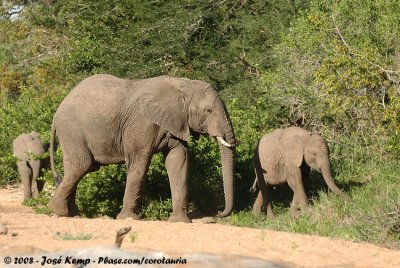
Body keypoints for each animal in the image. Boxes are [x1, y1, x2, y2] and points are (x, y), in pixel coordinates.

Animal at [47, 73, 234, 222]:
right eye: (208, 111)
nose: (218, 213)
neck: (182, 85)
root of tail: (57, 110)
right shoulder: (142, 124)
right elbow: (139, 163)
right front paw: (129, 218)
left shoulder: (175, 123)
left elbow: (178, 161)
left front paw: (180, 221)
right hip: (72, 129)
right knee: (82, 165)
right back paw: (59, 211)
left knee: (78, 168)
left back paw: (73, 214)